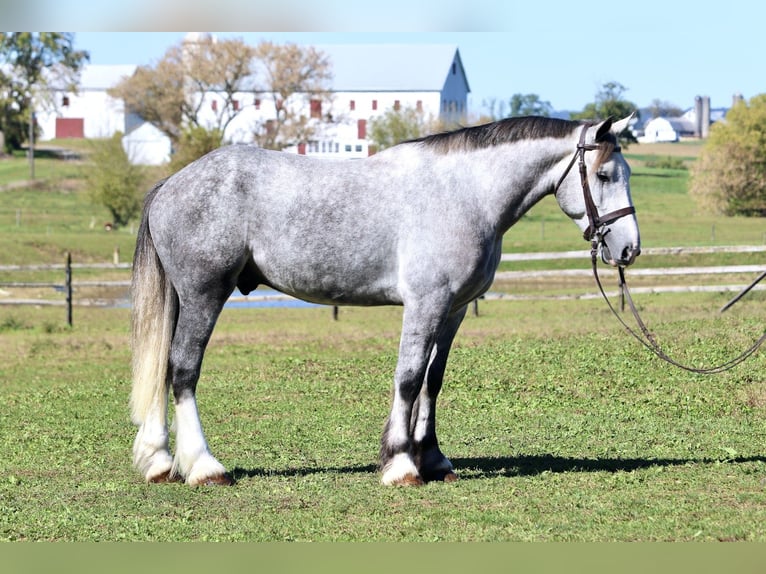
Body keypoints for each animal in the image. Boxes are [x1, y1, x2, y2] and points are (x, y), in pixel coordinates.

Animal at [130, 115, 640, 487]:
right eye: (604, 174)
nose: (629, 249)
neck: (464, 192)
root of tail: (171, 184)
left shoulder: (453, 310)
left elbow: (433, 381)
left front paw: (433, 459)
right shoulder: (425, 304)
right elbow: (409, 378)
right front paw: (400, 465)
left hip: (183, 299)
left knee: (163, 368)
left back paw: (160, 462)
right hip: (204, 294)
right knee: (183, 370)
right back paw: (203, 467)